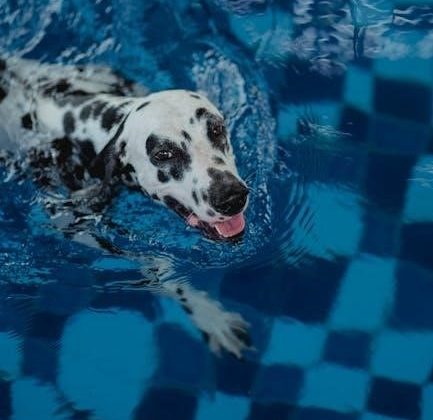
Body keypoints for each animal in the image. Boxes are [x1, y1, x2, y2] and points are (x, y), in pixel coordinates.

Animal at [0, 57, 252, 357]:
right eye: (163, 154)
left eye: (216, 129)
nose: (231, 196)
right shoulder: (76, 226)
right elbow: (160, 267)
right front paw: (209, 315)